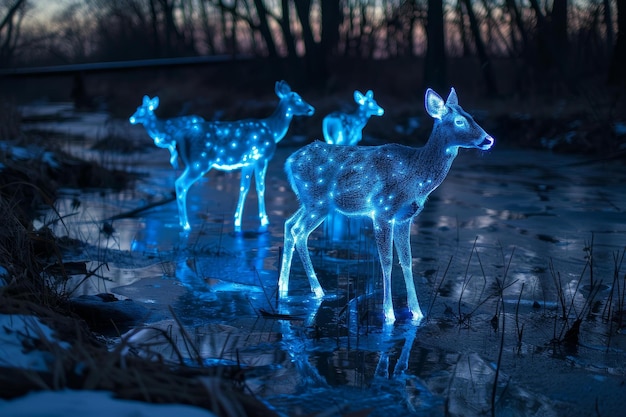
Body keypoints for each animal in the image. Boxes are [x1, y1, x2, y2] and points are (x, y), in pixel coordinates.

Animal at [168, 80, 314, 231]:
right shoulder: (261, 157)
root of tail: (178, 136)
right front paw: (264, 219)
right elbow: (261, 187)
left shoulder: (248, 162)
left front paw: (237, 220)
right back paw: (185, 225)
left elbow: (244, 188)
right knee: (180, 184)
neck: (273, 130)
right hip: (199, 161)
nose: (311, 109)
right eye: (297, 98)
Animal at [278, 88, 492, 322]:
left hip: (309, 202)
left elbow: (407, 261)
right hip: (318, 202)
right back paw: (318, 290)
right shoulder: (382, 210)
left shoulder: (405, 218)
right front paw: (389, 313)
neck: (416, 176)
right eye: (459, 121)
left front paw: (417, 312)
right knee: (299, 231)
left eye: (473, 117)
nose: (489, 139)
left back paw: (283, 286)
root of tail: (289, 161)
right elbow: (387, 260)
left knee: (289, 224)